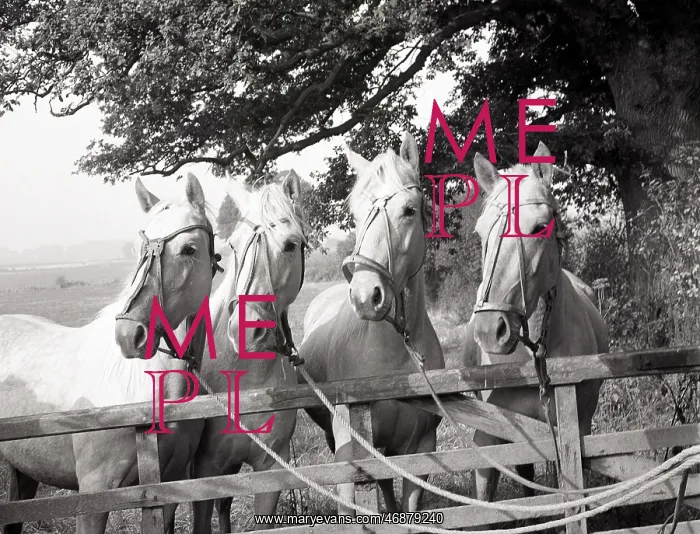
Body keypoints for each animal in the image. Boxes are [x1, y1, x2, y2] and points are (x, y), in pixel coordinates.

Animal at [0, 173, 222, 534]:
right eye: (138, 251)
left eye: (189, 249)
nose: (129, 335)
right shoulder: (95, 494)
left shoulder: (168, 489)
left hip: (23, 469)